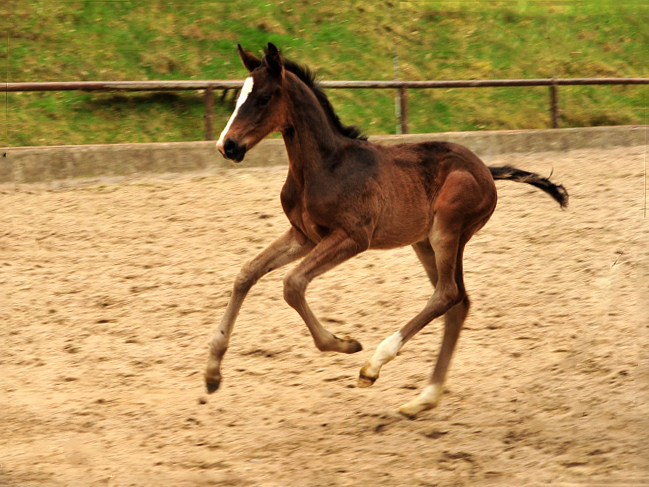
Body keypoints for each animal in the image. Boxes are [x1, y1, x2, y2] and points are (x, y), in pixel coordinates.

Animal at [204, 44, 568, 420]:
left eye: (263, 97)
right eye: (238, 98)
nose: (227, 145)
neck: (323, 167)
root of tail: (484, 168)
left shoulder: (352, 237)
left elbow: (293, 284)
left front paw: (344, 344)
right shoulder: (303, 236)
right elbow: (246, 273)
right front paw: (212, 372)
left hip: (447, 231)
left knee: (447, 294)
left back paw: (374, 365)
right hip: (424, 242)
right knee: (458, 301)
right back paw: (424, 398)